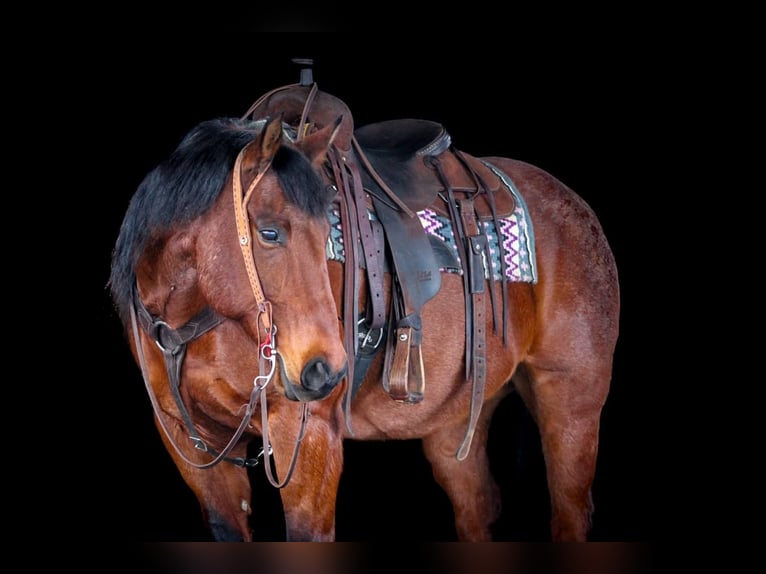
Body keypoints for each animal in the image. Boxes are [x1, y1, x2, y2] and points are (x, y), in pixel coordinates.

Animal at [108, 71, 620, 542]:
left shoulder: (308, 438)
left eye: (328, 232)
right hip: (456, 425)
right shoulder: (190, 443)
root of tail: (576, 208)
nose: (325, 371)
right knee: (477, 508)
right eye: (269, 232)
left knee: (570, 511)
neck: (196, 322)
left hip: (570, 403)